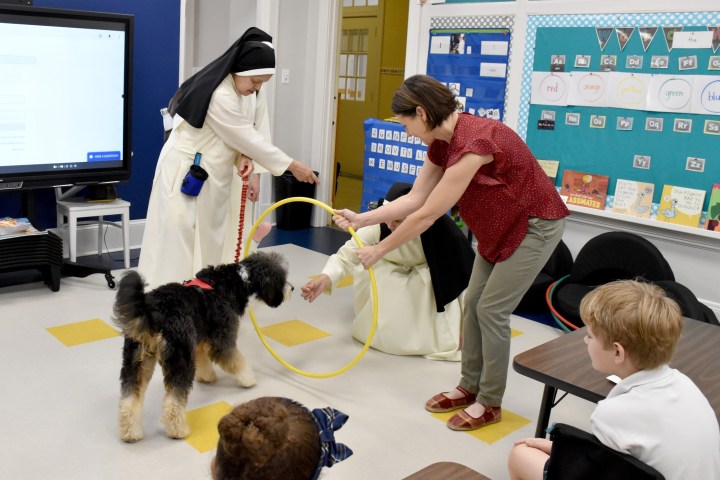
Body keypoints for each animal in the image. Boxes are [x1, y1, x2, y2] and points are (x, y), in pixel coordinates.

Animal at [114, 251, 292, 442]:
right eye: (282, 278)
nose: (292, 289)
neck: (238, 281)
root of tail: (154, 311)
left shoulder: (198, 342)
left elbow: (204, 362)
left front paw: (207, 377)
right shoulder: (222, 342)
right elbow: (237, 361)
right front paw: (248, 380)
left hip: (136, 361)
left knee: (129, 401)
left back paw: (130, 433)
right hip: (181, 359)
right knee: (172, 403)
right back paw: (179, 431)